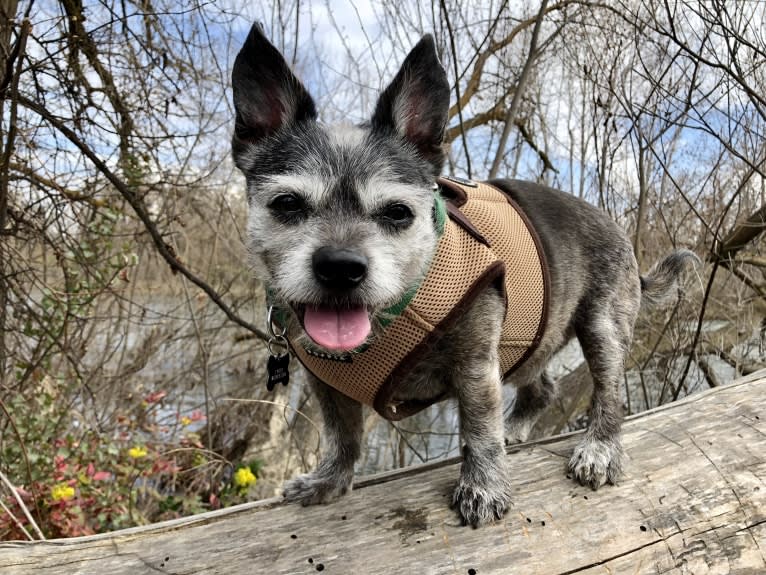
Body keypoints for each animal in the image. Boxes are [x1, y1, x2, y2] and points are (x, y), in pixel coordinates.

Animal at [230, 24, 704, 528]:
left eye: (397, 212)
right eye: (287, 204)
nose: (340, 266)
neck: (392, 315)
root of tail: (614, 224)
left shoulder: (477, 367)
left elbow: (478, 428)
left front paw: (483, 487)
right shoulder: (327, 386)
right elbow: (343, 434)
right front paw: (330, 480)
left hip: (602, 328)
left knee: (609, 390)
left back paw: (600, 449)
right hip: (533, 341)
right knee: (543, 388)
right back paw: (518, 427)